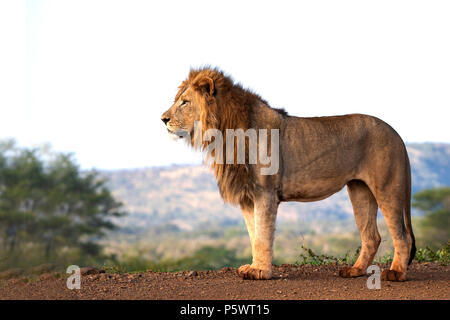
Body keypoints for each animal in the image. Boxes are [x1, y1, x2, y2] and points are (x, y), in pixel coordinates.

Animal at [161, 67, 414, 280]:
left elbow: (263, 235)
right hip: (359, 190)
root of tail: (397, 134)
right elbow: (254, 234)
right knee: (372, 236)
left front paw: (260, 271)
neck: (225, 134)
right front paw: (253, 267)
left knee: (402, 235)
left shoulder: (265, 192)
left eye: (185, 102)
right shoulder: (248, 196)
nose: (163, 119)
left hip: (387, 187)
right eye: (178, 100)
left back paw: (396, 273)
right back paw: (355, 270)